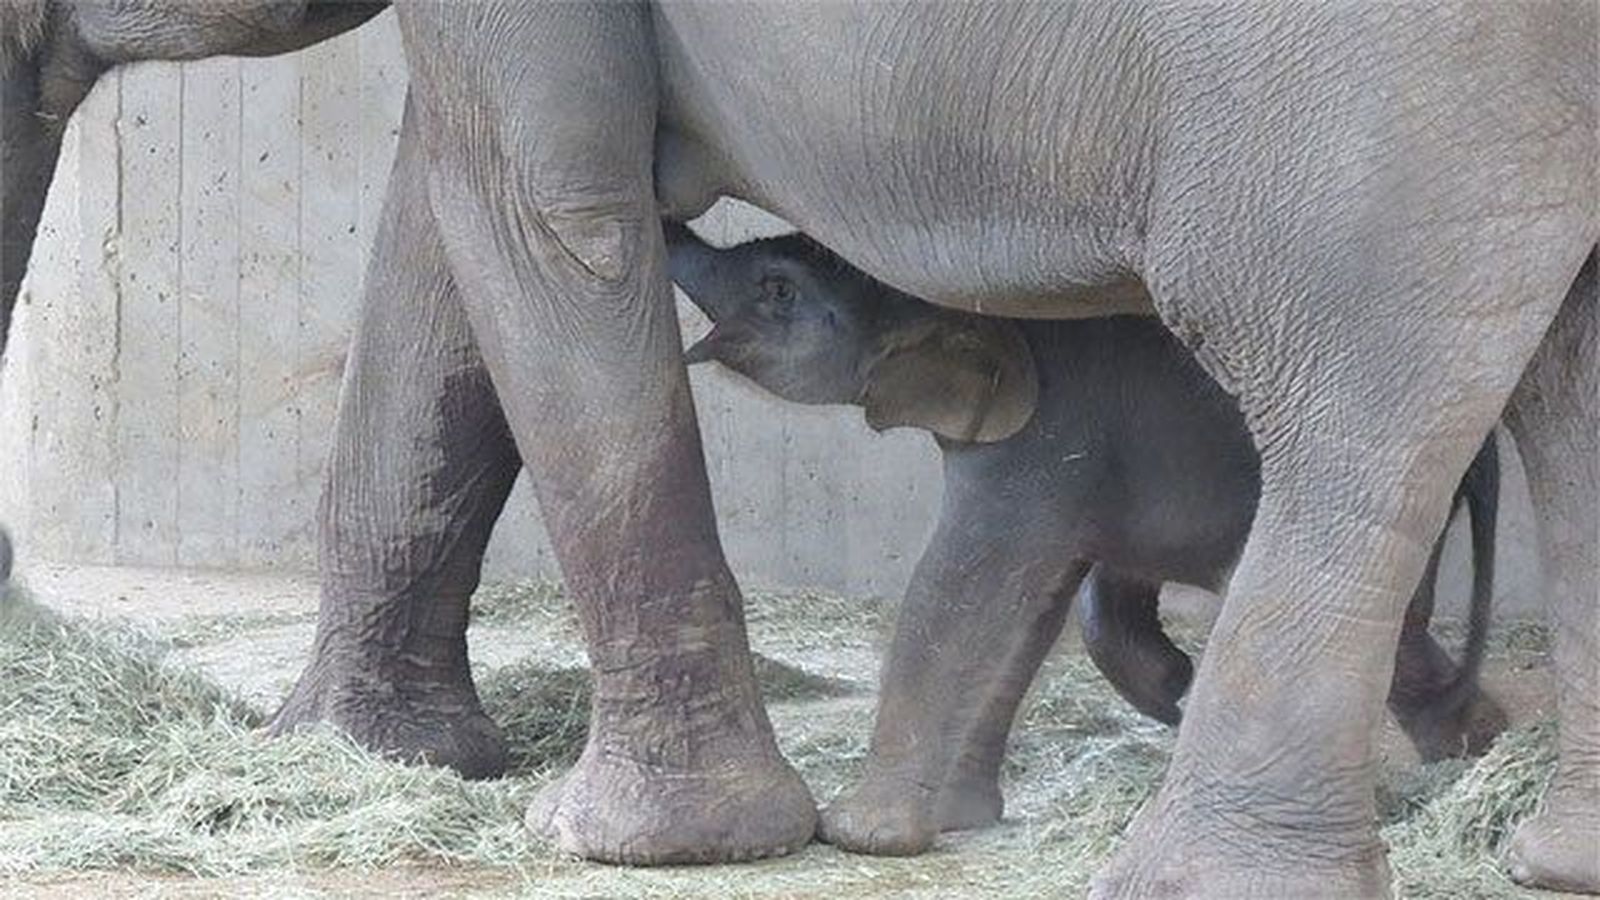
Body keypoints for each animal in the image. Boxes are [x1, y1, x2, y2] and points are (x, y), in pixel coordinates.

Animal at [664, 222, 1509, 841]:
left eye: (778, 289)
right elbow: (1036, 608)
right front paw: (963, 820)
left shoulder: (1043, 439)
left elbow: (963, 584)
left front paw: (863, 834)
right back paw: (1475, 756)